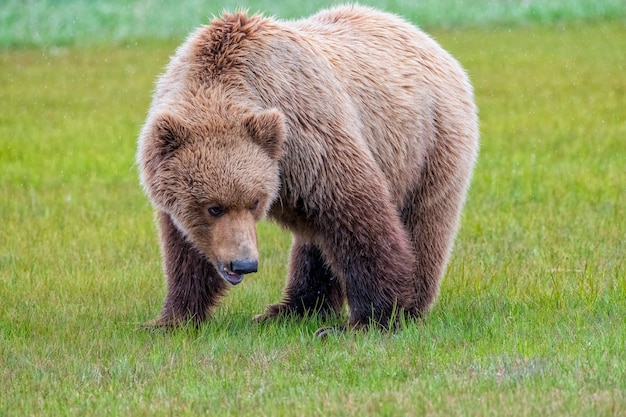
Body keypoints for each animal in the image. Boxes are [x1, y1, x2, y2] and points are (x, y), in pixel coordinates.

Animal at [138, 4, 478, 334]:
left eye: (254, 202)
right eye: (213, 207)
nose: (244, 264)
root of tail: (429, 41)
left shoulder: (308, 136)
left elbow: (357, 213)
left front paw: (372, 318)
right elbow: (185, 249)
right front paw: (168, 319)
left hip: (428, 144)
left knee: (424, 223)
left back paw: (409, 307)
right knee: (315, 243)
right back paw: (291, 310)